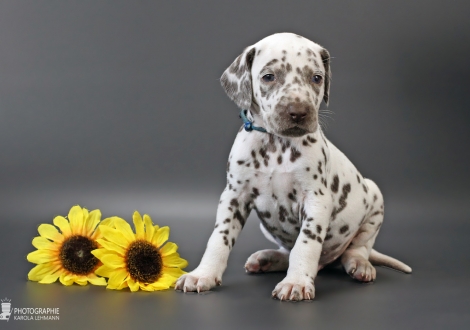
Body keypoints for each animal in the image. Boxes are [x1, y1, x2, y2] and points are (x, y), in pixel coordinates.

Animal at [176, 32, 412, 300]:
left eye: (317, 78)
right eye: (269, 76)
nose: (298, 112)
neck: (276, 145)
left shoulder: (316, 200)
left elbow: (305, 245)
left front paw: (296, 282)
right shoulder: (233, 196)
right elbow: (219, 238)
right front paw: (202, 274)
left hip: (374, 199)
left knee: (357, 248)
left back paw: (360, 265)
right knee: (289, 252)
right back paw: (268, 258)